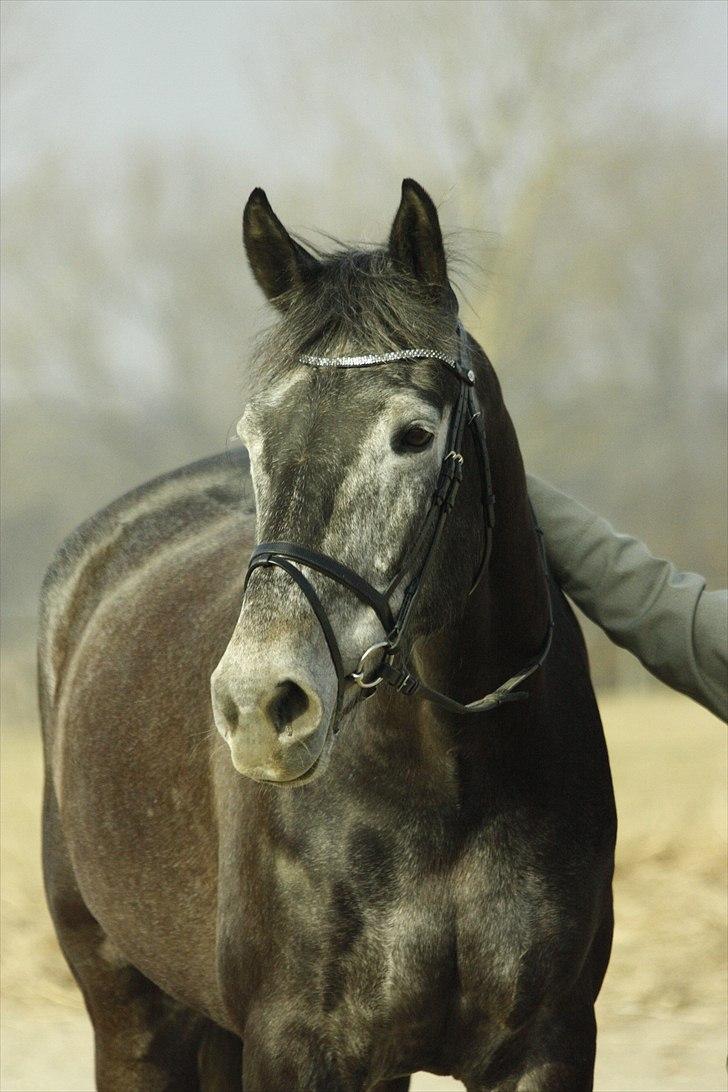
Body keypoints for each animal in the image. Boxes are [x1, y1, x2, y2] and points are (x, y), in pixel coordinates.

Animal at [39, 174, 619, 1087]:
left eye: (414, 435)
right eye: (252, 439)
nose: (258, 705)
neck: (448, 789)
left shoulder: (549, 1045)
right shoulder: (296, 1049)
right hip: (128, 1014)